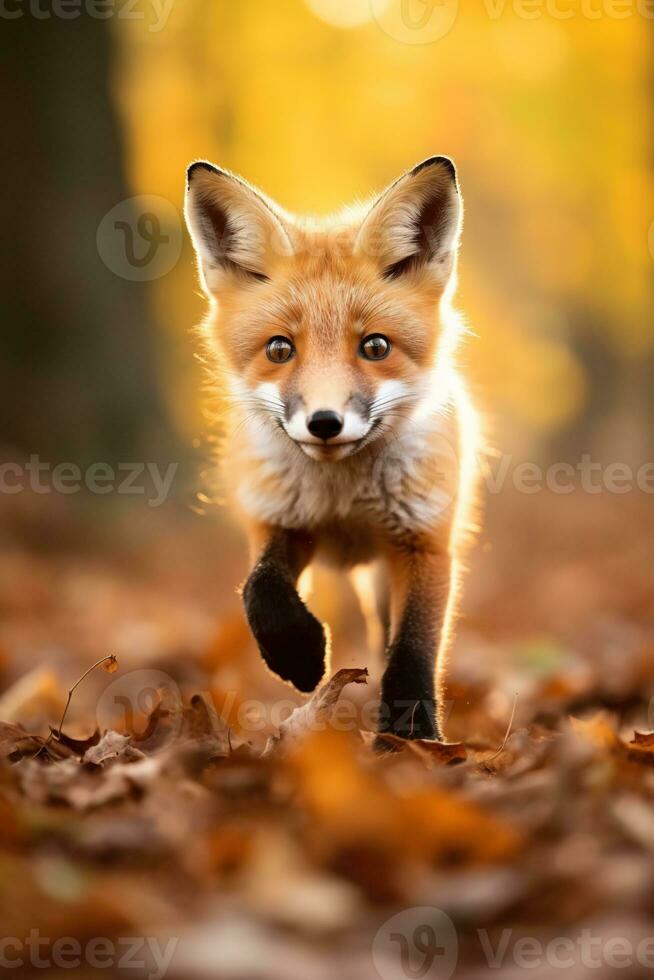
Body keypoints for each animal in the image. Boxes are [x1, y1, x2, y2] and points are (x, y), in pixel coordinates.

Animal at [184, 157, 482, 744]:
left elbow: (413, 648)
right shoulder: (279, 522)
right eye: (280, 348)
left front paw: (413, 735)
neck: (344, 499)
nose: (324, 423)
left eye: (376, 346)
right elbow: (260, 590)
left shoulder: (424, 542)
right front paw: (298, 656)